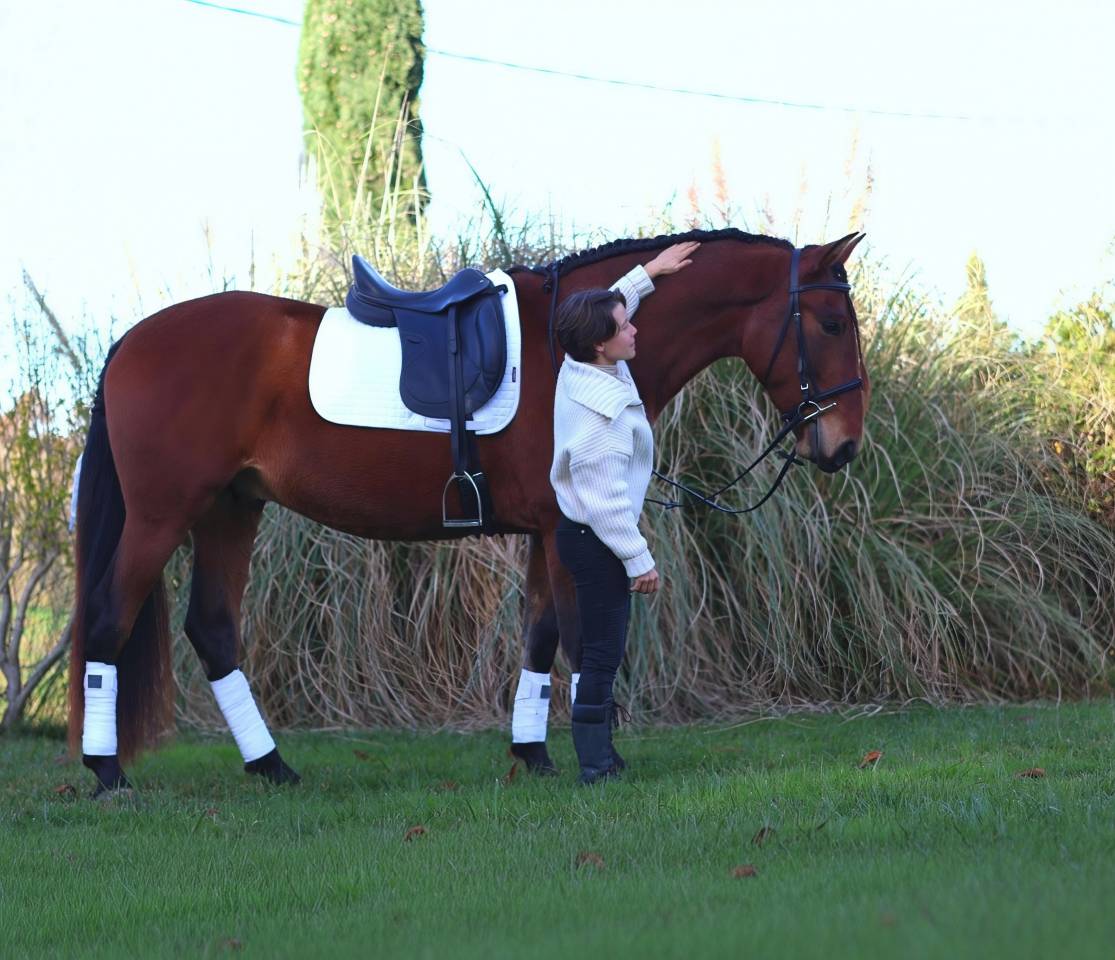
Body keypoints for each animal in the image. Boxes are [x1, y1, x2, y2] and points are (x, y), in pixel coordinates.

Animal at [68, 227, 868, 794]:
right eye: (831, 324)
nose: (844, 445)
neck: (563, 346)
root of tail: (131, 340)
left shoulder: (546, 532)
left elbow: (540, 637)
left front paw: (533, 755)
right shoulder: (566, 526)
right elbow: (582, 639)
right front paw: (595, 759)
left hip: (230, 511)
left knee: (213, 630)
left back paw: (272, 768)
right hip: (163, 515)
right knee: (108, 617)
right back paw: (108, 774)